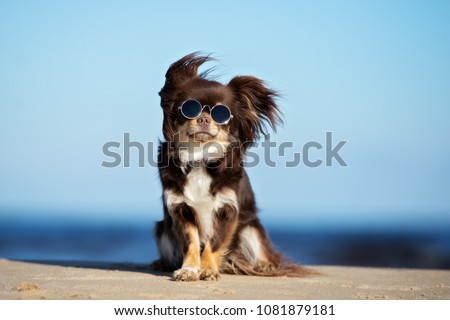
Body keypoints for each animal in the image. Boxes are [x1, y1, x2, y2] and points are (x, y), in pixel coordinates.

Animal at [153, 52, 312, 280]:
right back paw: (162, 263)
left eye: (222, 113)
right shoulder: (181, 210)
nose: (203, 119)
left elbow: (214, 244)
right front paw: (189, 269)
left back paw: (265, 265)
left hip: (250, 228)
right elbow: (191, 243)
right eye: (189, 109)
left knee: (261, 249)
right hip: (162, 229)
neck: (200, 158)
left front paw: (208, 269)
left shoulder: (228, 211)